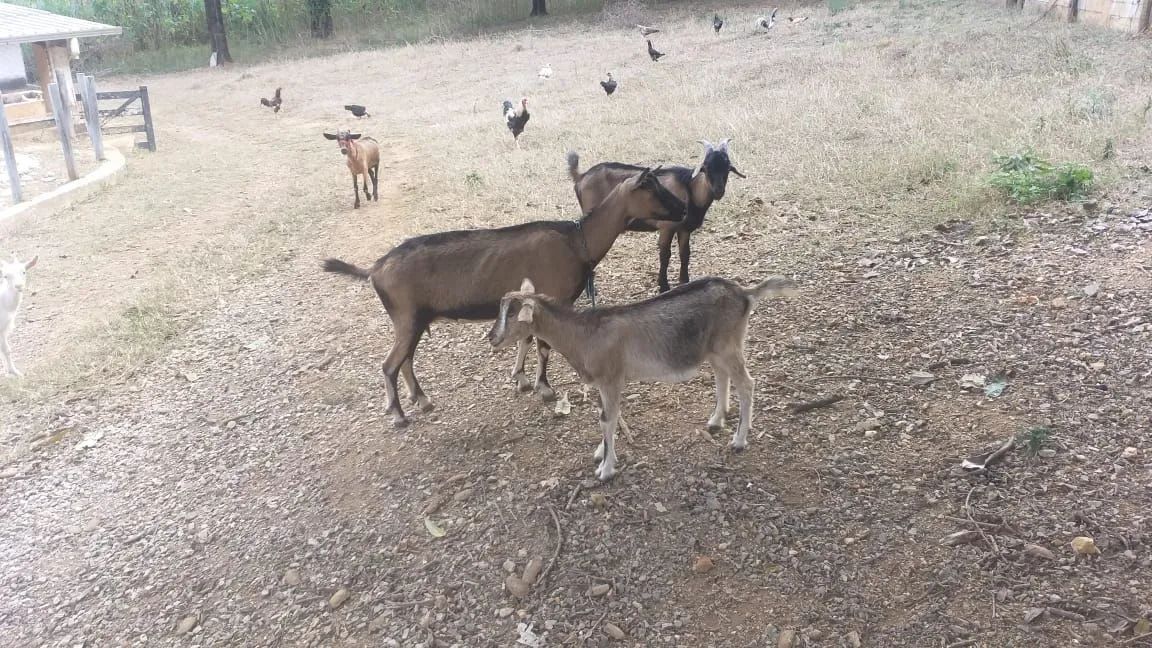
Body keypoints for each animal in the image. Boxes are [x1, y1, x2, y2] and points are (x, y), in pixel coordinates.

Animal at [322, 168, 685, 428]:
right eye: (652, 188)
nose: (683, 208)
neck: (576, 241)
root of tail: (375, 269)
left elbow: (526, 339)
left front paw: (521, 379)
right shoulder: (553, 296)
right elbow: (543, 346)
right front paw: (544, 388)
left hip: (414, 319)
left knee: (406, 360)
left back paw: (422, 400)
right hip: (405, 317)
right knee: (390, 365)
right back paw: (399, 415)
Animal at [487, 275, 797, 481]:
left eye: (512, 313)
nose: (492, 337)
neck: (584, 335)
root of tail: (744, 294)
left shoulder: (611, 379)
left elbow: (607, 419)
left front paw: (606, 470)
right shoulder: (606, 383)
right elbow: (607, 416)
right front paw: (601, 453)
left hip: (729, 345)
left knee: (746, 384)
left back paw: (739, 440)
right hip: (714, 349)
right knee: (722, 377)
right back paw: (715, 420)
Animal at [568, 139, 745, 293]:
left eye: (727, 168)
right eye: (706, 168)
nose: (718, 191)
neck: (690, 189)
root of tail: (581, 176)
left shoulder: (685, 229)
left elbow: (685, 254)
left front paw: (684, 281)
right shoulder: (666, 227)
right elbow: (665, 255)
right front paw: (663, 286)